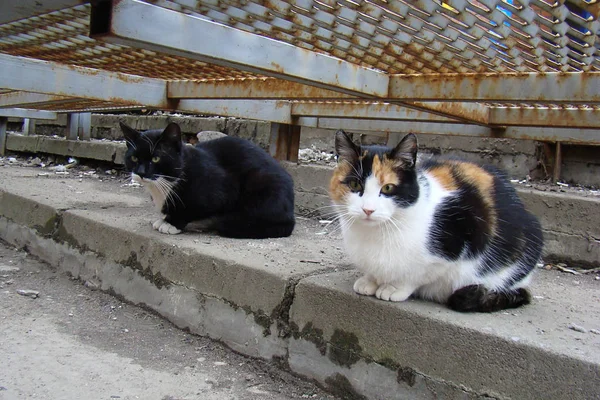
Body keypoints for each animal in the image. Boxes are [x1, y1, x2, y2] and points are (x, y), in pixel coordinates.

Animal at [120, 122, 296, 239]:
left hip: (262, 183)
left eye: (156, 158)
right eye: (134, 158)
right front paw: (165, 219)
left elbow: (191, 208)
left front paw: (171, 223)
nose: (141, 172)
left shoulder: (221, 189)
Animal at [328, 131, 544, 312]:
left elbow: (418, 274)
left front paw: (394, 288)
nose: (368, 209)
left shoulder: (453, 244)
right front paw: (370, 281)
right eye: (354, 184)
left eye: (388, 188)